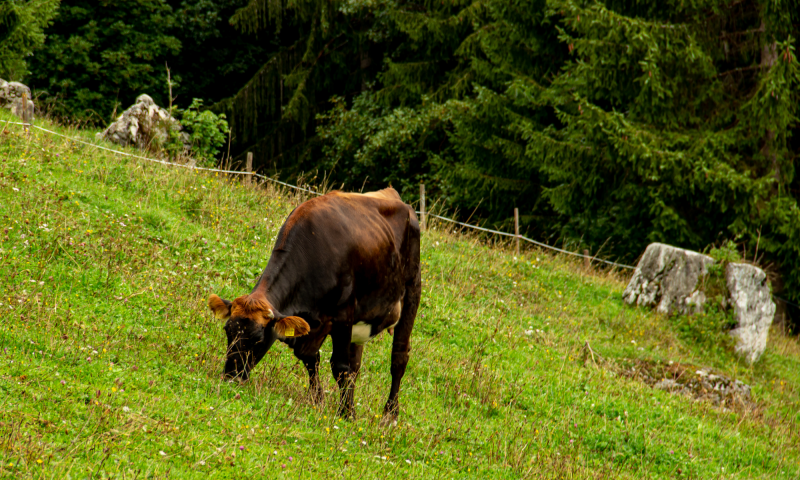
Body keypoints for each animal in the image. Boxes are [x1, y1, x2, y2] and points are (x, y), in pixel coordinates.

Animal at [206, 188, 422, 424]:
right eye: (227, 331)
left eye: (257, 339)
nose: (230, 377)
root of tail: (395, 196)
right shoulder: (313, 326)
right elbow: (311, 358)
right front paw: (318, 401)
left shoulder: (343, 315)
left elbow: (339, 366)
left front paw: (347, 414)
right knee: (356, 366)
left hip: (412, 289)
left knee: (399, 358)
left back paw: (390, 414)